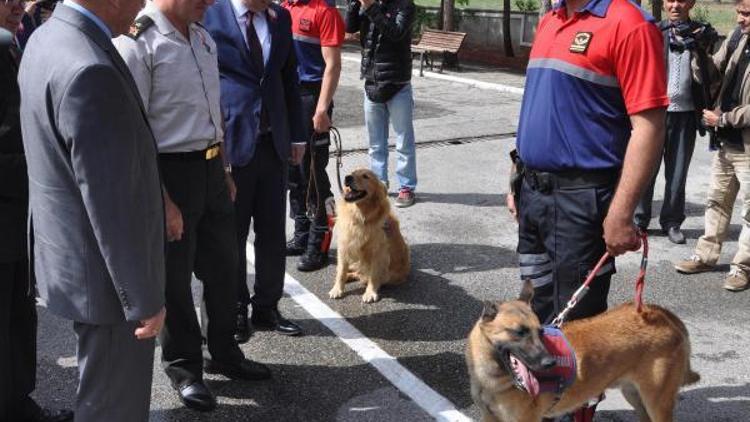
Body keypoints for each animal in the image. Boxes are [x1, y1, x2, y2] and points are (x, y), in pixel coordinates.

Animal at [328, 168, 412, 304]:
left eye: (365, 176)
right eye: (352, 172)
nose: (347, 177)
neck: (360, 216)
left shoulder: (378, 253)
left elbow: (373, 276)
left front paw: (370, 293)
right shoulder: (344, 246)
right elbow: (341, 271)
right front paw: (337, 289)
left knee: (366, 276)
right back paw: (348, 276)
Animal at [468, 280, 704, 422]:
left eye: (540, 331)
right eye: (519, 332)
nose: (549, 363)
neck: (492, 379)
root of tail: (661, 313)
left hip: (657, 402)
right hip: (635, 395)